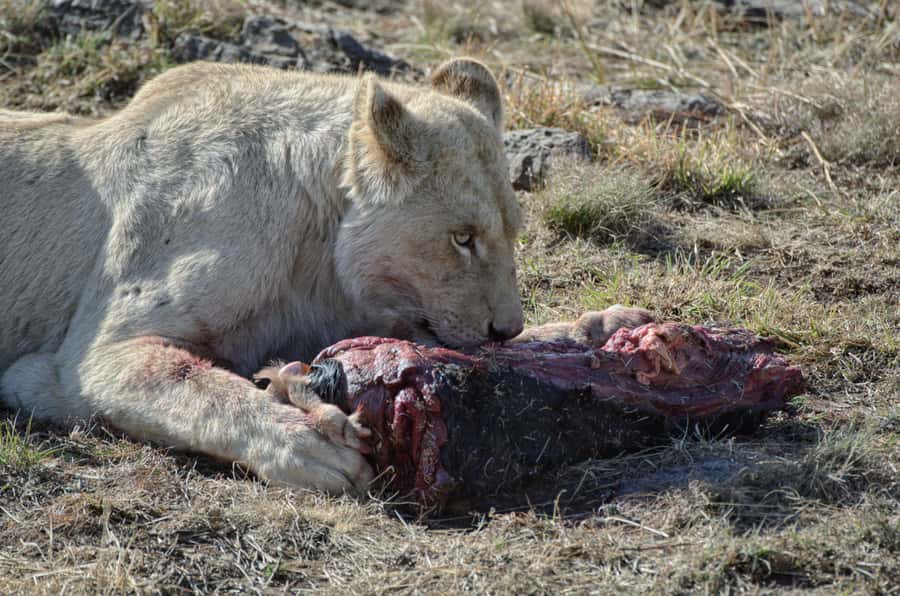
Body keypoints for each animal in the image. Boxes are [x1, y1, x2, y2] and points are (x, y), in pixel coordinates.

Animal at [0, 58, 652, 493]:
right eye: (462, 239)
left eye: (513, 233)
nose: (504, 328)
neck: (314, 254)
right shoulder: (78, 364)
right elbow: (194, 385)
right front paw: (311, 443)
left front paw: (600, 328)